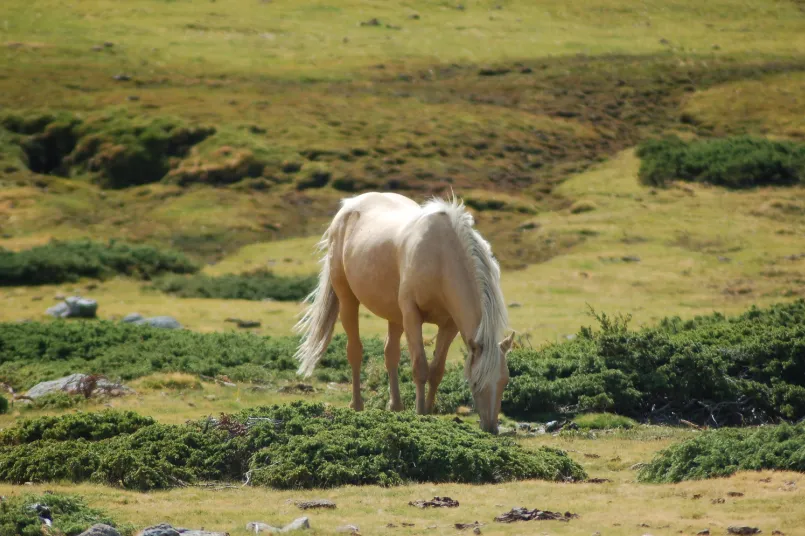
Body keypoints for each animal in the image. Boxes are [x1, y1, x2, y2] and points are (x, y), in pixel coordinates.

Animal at [292, 193, 512, 436]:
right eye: (474, 383)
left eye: (504, 381)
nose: (491, 427)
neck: (441, 257)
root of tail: (349, 204)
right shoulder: (411, 315)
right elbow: (420, 368)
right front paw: (420, 414)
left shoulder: (449, 325)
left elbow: (436, 370)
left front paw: (429, 412)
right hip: (348, 299)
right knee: (355, 351)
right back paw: (357, 405)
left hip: (394, 315)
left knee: (391, 354)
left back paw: (396, 406)